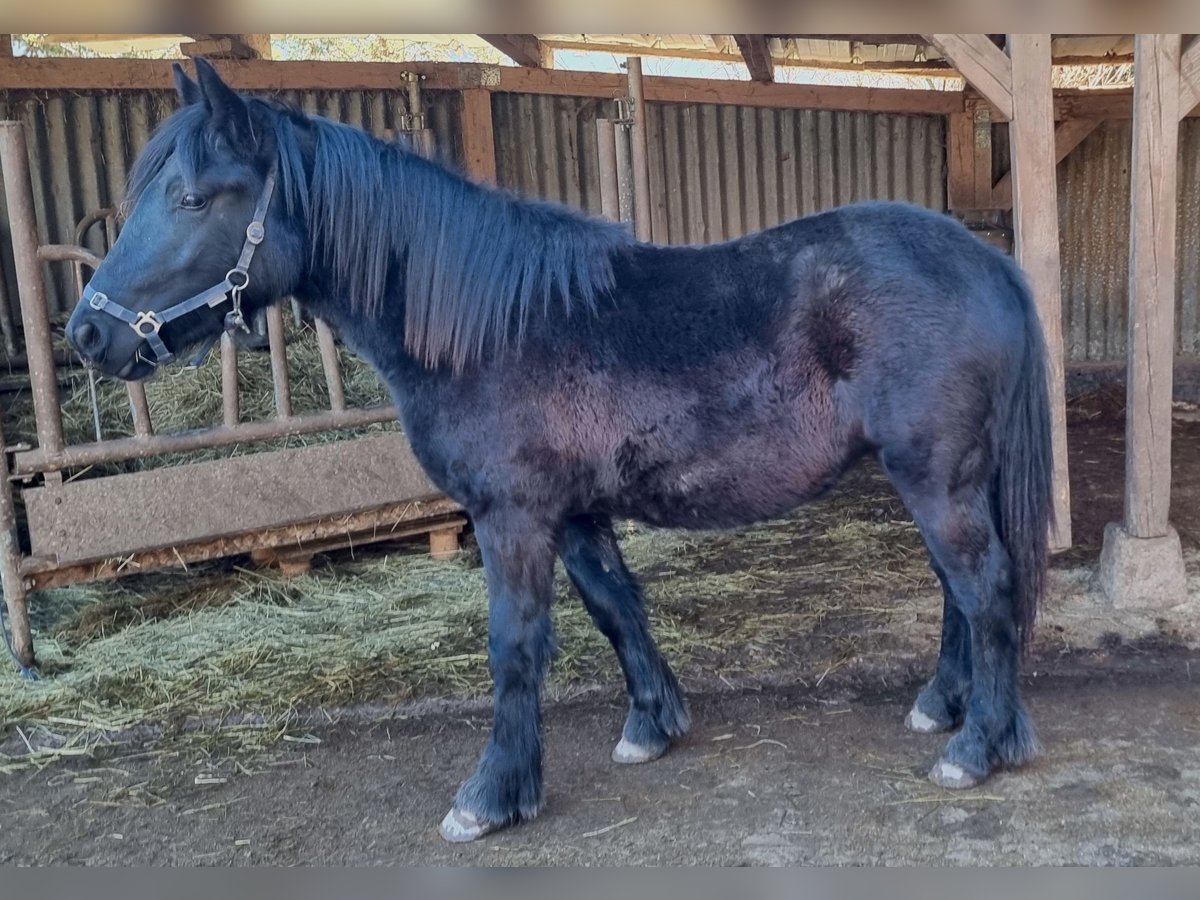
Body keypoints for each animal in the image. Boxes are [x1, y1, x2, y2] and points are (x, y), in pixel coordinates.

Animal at [68, 63, 1051, 844]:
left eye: (193, 198)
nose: (87, 334)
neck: (496, 328)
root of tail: (985, 261)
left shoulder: (512, 518)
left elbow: (514, 646)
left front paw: (491, 793)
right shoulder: (575, 514)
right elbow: (616, 608)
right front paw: (652, 726)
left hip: (935, 475)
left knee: (983, 588)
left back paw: (978, 745)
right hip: (935, 476)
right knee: (959, 592)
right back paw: (942, 708)